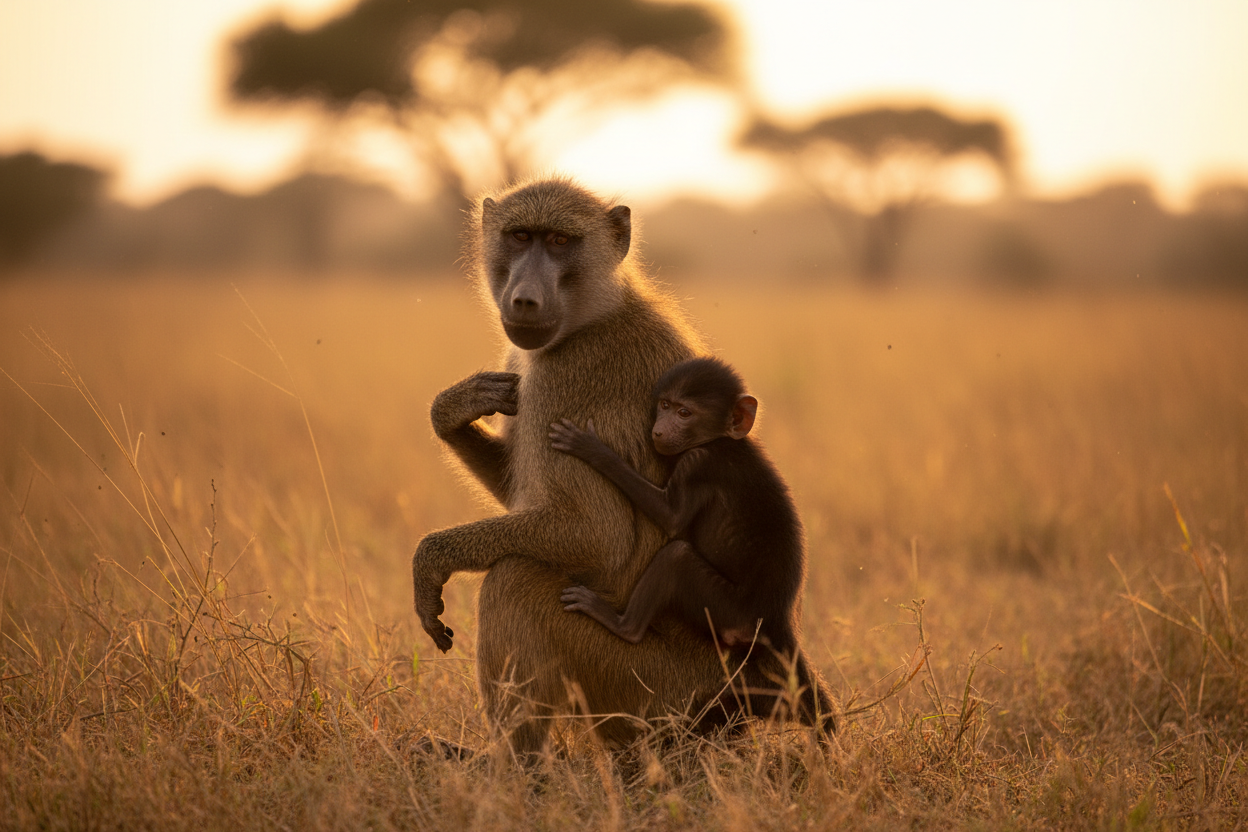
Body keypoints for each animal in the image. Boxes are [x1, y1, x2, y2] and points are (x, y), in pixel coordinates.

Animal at [549, 356, 835, 733]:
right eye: (665, 405)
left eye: (684, 412)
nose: (658, 430)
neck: (721, 440)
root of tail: (777, 618)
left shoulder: (698, 463)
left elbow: (670, 517)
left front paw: (593, 450)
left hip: (729, 610)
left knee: (676, 557)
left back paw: (620, 623)